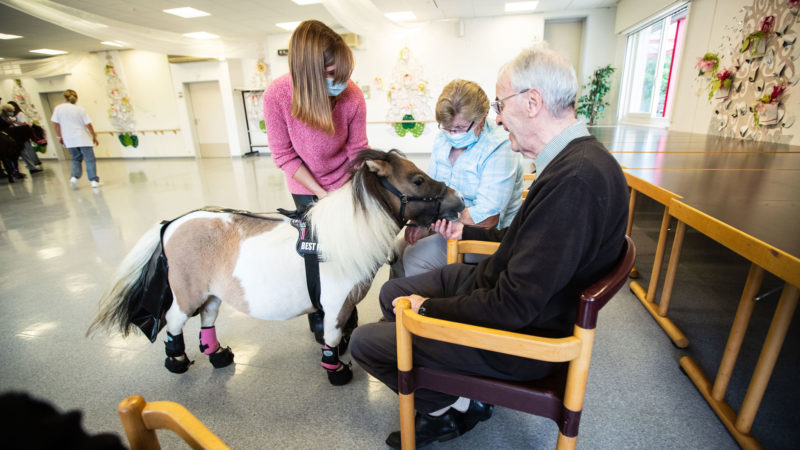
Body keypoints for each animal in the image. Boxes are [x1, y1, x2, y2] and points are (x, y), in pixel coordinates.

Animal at [86, 149, 462, 384]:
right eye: (417, 180)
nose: (458, 201)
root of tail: (173, 223)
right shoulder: (335, 307)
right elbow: (332, 337)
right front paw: (336, 369)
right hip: (187, 296)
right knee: (174, 324)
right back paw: (176, 360)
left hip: (212, 296)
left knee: (207, 321)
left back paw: (218, 354)